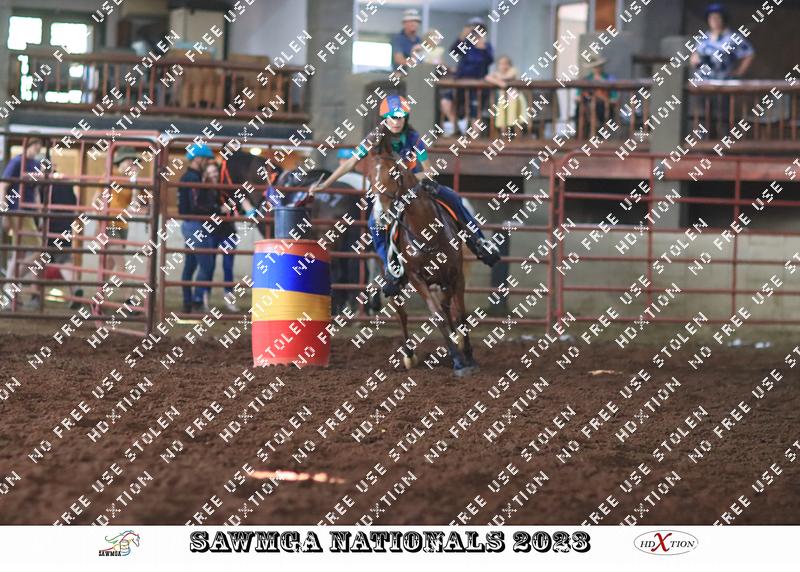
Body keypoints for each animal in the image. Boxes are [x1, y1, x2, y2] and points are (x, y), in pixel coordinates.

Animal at [370, 151, 478, 377]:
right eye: (371, 178)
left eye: (393, 174)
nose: (380, 215)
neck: (427, 233)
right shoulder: (416, 278)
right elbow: (437, 315)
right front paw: (458, 361)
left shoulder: (457, 275)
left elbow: (460, 313)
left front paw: (468, 356)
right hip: (394, 284)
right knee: (402, 314)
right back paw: (409, 355)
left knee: (447, 305)